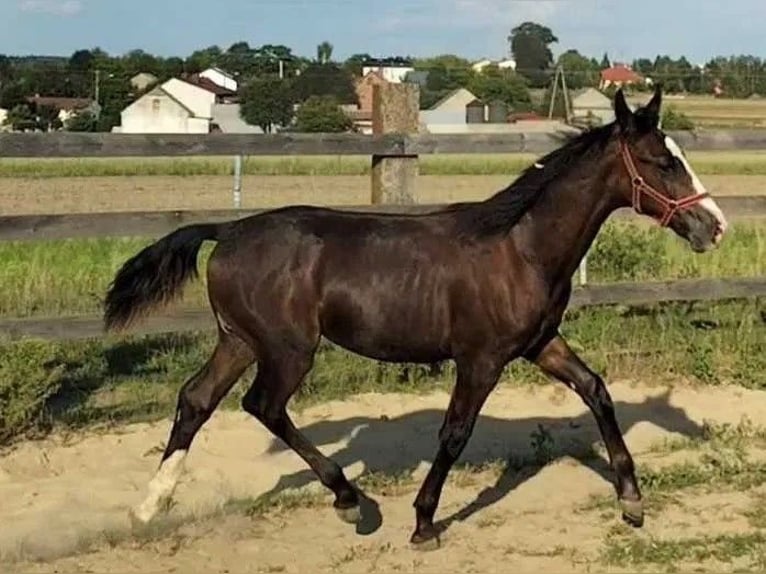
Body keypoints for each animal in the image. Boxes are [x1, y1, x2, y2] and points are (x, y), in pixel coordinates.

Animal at [105, 88, 728, 552]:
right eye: (662, 162)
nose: (715, 226)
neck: (520, 249)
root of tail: (227, 230)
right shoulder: (481, 359)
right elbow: (454, 433)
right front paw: (424, 522)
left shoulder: (541, 344)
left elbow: (597, 391)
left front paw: (632, 502)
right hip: (287, 349)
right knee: (263, 406)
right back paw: (350, 501)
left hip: (238, 341)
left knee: (196, 399)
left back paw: (147, 508)